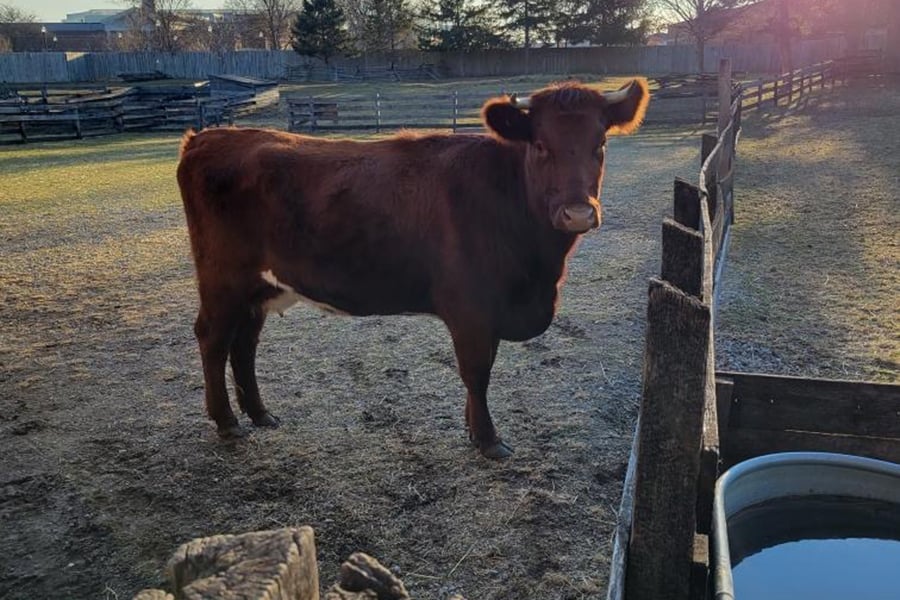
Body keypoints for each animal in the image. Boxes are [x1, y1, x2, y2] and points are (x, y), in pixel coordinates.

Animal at [177, 79, 649, 459]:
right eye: (540, 145)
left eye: (600, 144)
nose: (578, 213)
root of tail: (208, 136)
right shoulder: (471, 307)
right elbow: (477, 371)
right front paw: (488, 440)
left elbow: (480, 371)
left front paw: (471, 428)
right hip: (222, 279)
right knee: (213, 340)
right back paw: (227, 422)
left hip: (259, 287)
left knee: (245, 344)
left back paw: (260, 414)